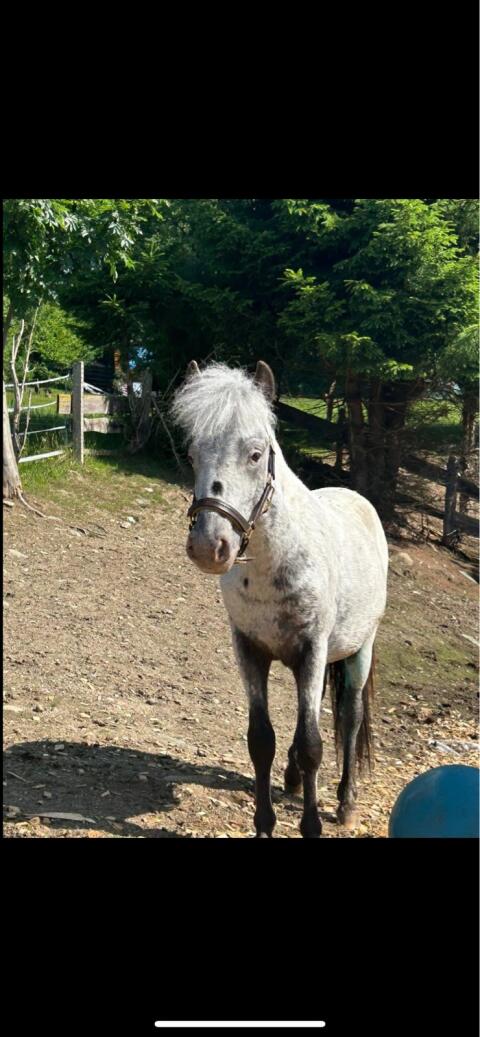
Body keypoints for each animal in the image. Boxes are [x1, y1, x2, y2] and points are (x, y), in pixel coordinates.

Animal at [171, 360, 389, 838]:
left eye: (256, 454)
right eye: (192, 454)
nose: (209, 546)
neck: (275, 564)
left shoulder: (311, 650)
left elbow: (312, 744)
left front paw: (311, 824)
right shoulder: (251, 650)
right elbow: (261, 740)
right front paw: (264, 823)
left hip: (357, 650)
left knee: (348, 717)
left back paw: (346, 802)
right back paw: (292, 780)